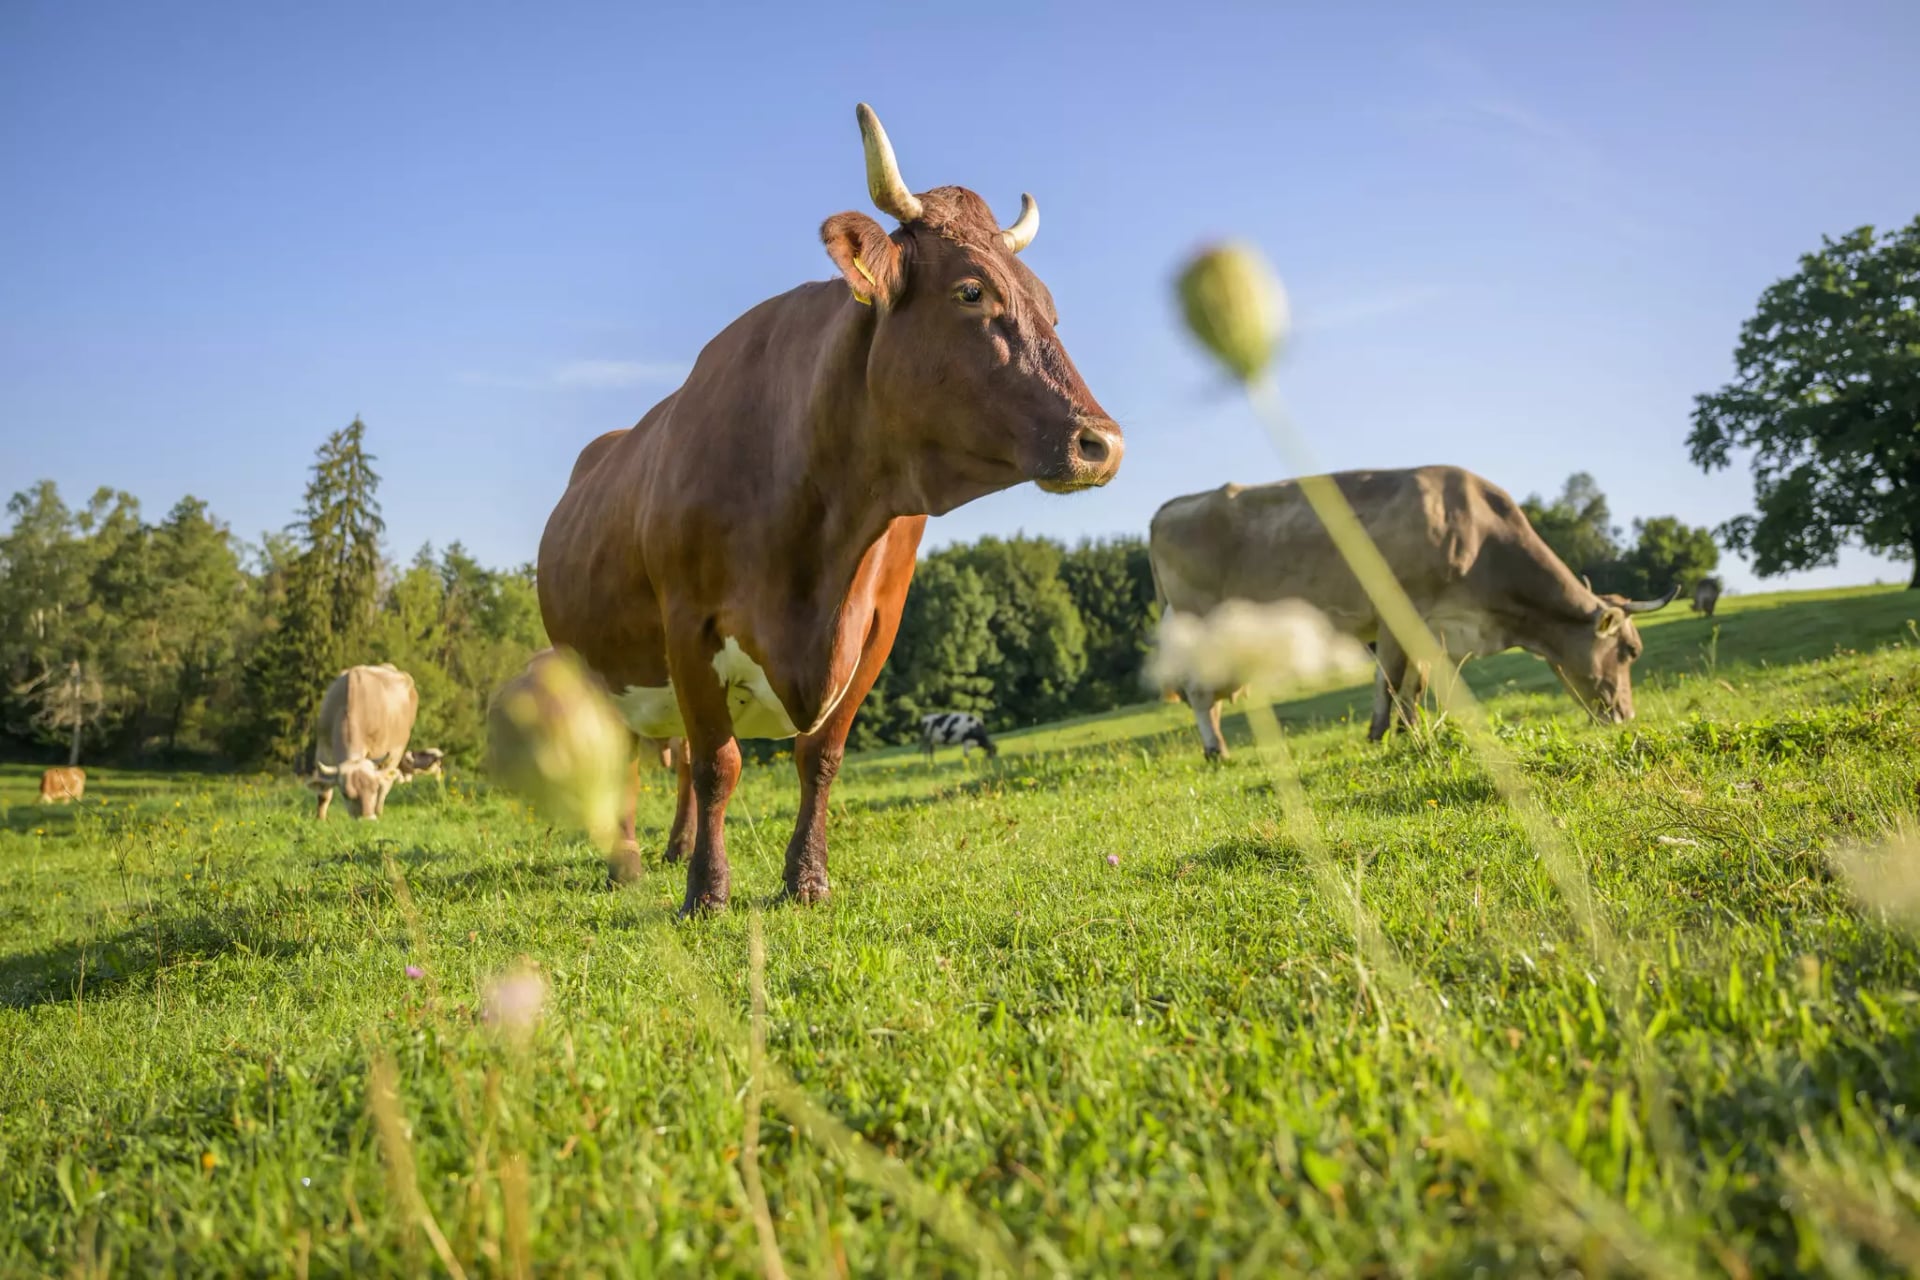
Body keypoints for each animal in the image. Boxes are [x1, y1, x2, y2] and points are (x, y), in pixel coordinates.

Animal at [301, 663, 420, 820]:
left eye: (373, 789)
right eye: (346, 794)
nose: (367, 820)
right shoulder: (323, 749)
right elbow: (324, 794)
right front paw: (320, 819)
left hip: (396, 751)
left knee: (385, 784)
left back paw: (379, 811)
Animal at [537, 104, 1123, 914]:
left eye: (1051, 307)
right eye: (972, 292)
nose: (1102, 442)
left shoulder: (875, 627)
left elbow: (821, 756)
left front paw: (804, 880)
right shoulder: (688, 623)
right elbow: (721, 764)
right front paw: (707, 895)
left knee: (674, 756)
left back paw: (673, 846)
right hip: (590, 669)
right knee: (627, 757)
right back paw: (625, 860)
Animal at [1148, 466, 1678, 757]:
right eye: (1630, 651)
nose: (1626, 716)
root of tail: (1169, 508)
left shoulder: (1432, 626)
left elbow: (1413, 683)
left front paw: (1408, 729)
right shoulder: (1395, 611)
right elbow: (1389, 678)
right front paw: (1380, 733)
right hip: (1203, 632)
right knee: (1200, 695)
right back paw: (1216, 750)